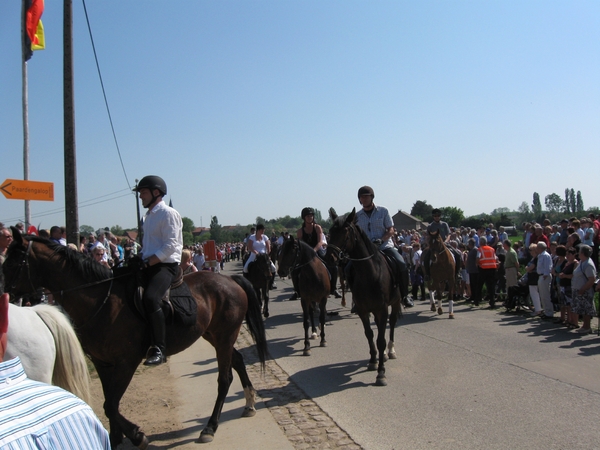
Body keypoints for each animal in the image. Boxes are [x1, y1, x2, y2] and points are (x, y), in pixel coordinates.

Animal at [2, 232, 268, 450]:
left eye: (13, 261)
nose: (4, 295)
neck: (100, 300)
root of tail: (231, 281)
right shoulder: (102, 363)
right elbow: (110, 401)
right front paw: (114, 438)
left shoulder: (125, 362)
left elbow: (110, 404)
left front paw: (136, 436)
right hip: (215, 335)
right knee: (238, 360)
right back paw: (249, 404)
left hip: (224, 336)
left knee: (224, 378)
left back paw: (210, 427)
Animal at [326, 207, 400, 386]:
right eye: (330, 232)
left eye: (345, 232)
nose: (329, 257)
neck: (370, 274)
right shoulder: (363, 310)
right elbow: (370, 334)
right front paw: (373, 361)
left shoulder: (382, 309)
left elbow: (380, 340)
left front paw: (381, 373)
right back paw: (384, 355)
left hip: (395, 302)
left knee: (392, 323)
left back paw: (391, 350)